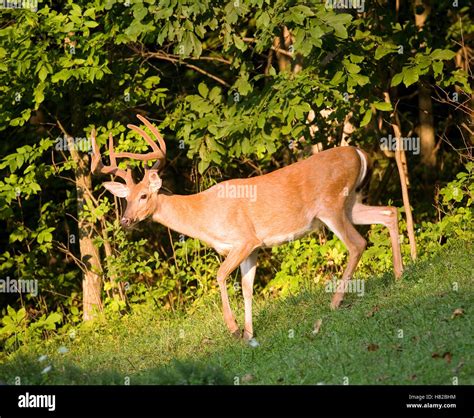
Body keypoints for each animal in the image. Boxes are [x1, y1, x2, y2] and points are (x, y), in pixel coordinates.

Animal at [92, 113, 404, 342]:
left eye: (144, 196)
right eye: (126, 199)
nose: (125, 220)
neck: (204, 214)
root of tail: (358, 153)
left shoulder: (244, 239)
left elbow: (220, 275)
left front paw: (232, 328)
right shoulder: (254, 247)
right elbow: (247, 288)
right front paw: (248, 334)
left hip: (331, 205)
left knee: (357, 243)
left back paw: (335, 302)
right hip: (350, 202)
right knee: (390, 212)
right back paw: (401, 274)